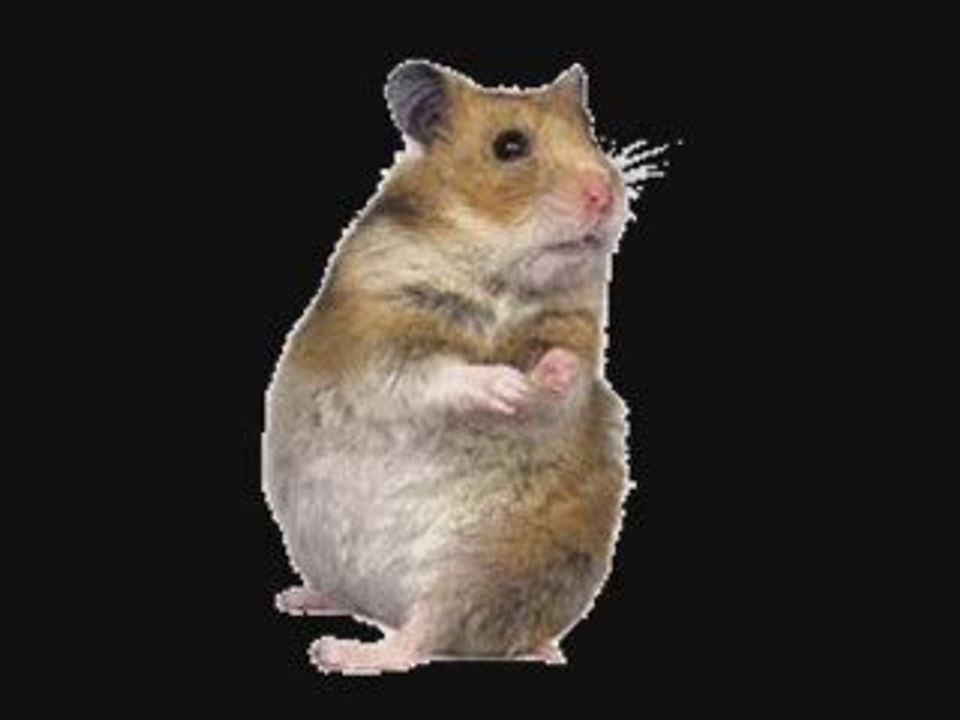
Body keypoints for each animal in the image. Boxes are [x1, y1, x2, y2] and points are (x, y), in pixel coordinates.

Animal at [263, 61, 644, 673]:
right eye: (509, 146)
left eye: (590, 134)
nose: (606, 193)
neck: (499, 276)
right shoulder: (375, 346)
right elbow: (435, 373)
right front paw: (508, 385)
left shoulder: (575, 336)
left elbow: (570, 374)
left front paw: (550, 372)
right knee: (377, 620)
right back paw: (309, 614)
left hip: (482, 570)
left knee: (421, 636)